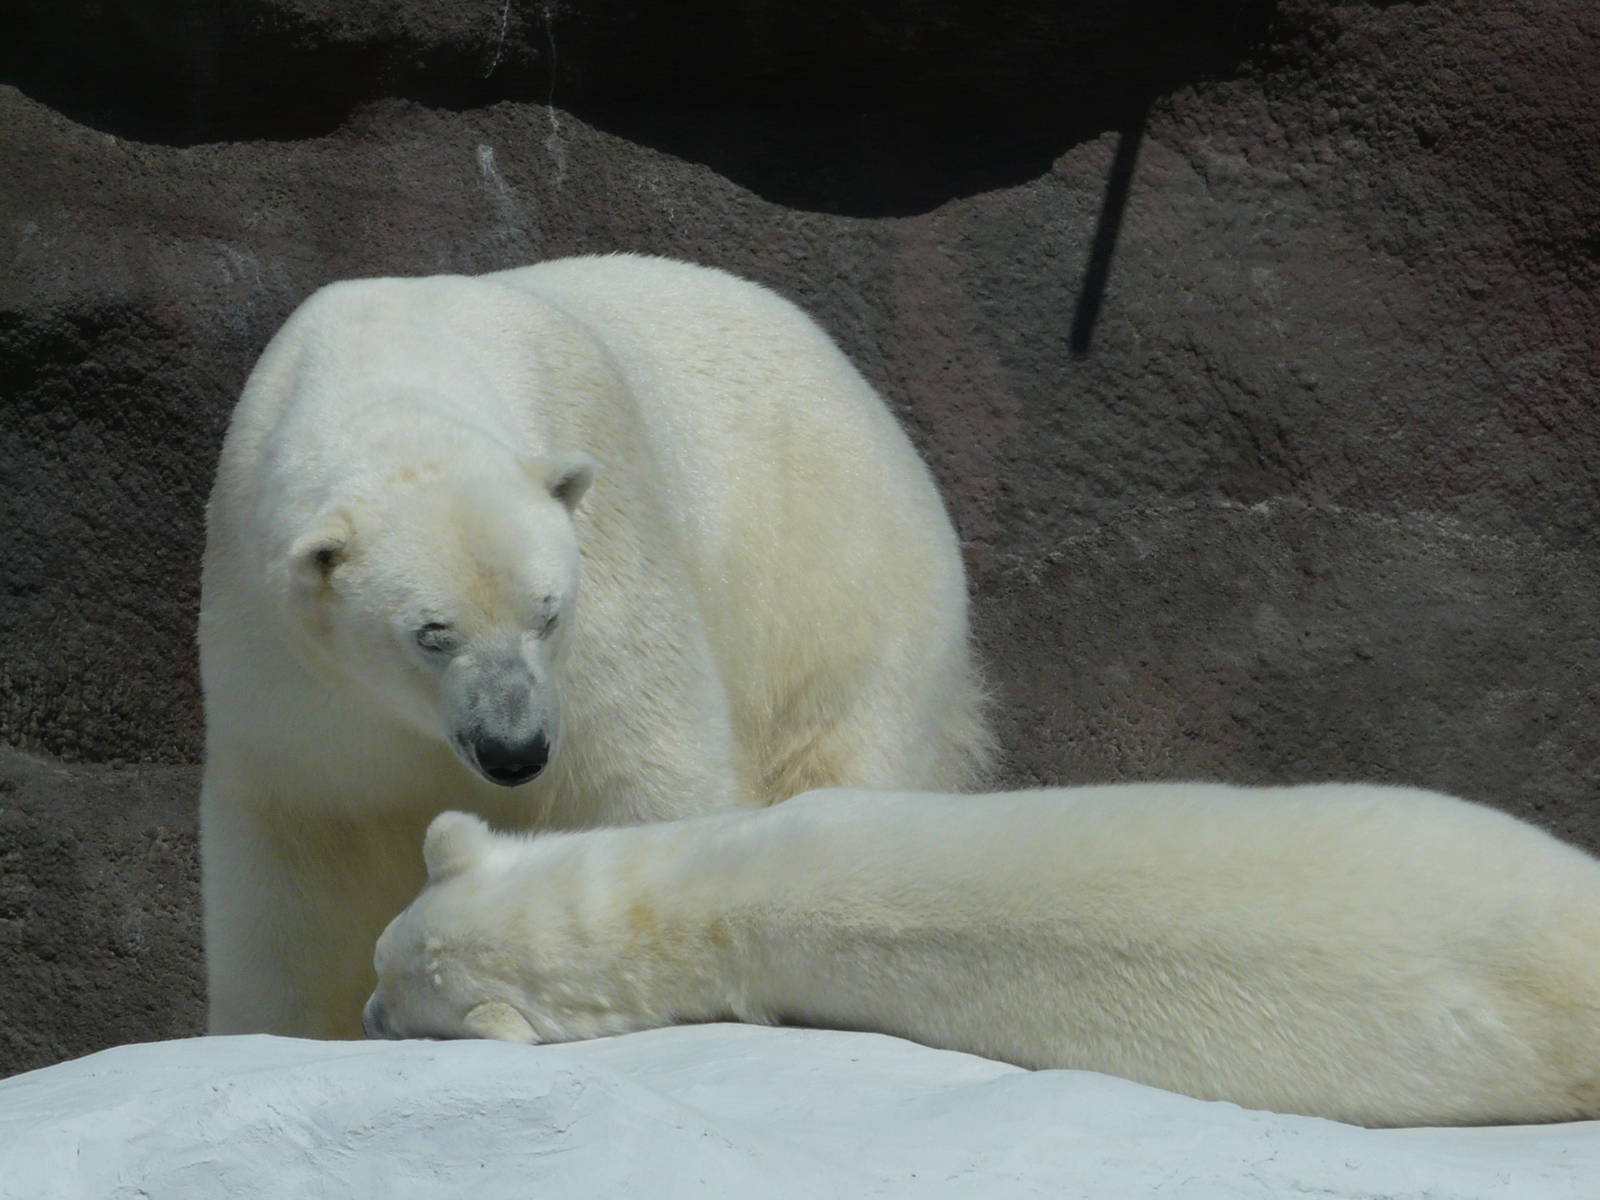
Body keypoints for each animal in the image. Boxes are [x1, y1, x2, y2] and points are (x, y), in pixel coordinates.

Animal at [199, 254, 991, 1039]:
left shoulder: (607, 541)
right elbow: (299, 866)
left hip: (839, 589)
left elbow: (637, 764)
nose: (515, 751)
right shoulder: (279, 657)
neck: (389, 364)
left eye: (548, 614)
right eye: (432, 633)